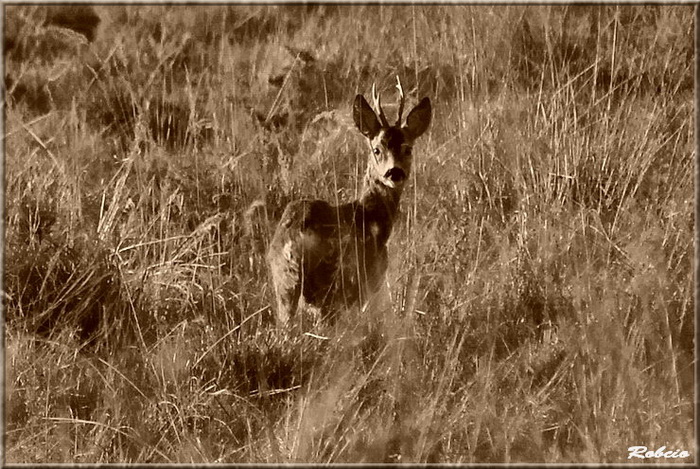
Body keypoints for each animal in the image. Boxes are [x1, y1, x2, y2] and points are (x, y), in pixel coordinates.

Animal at [267, 77, 432, 326]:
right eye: (376, 149)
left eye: (408, 148)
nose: (394, 173)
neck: (368, 215)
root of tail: (295, 237)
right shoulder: (370, 280)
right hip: (331, 285)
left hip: (285, 283)